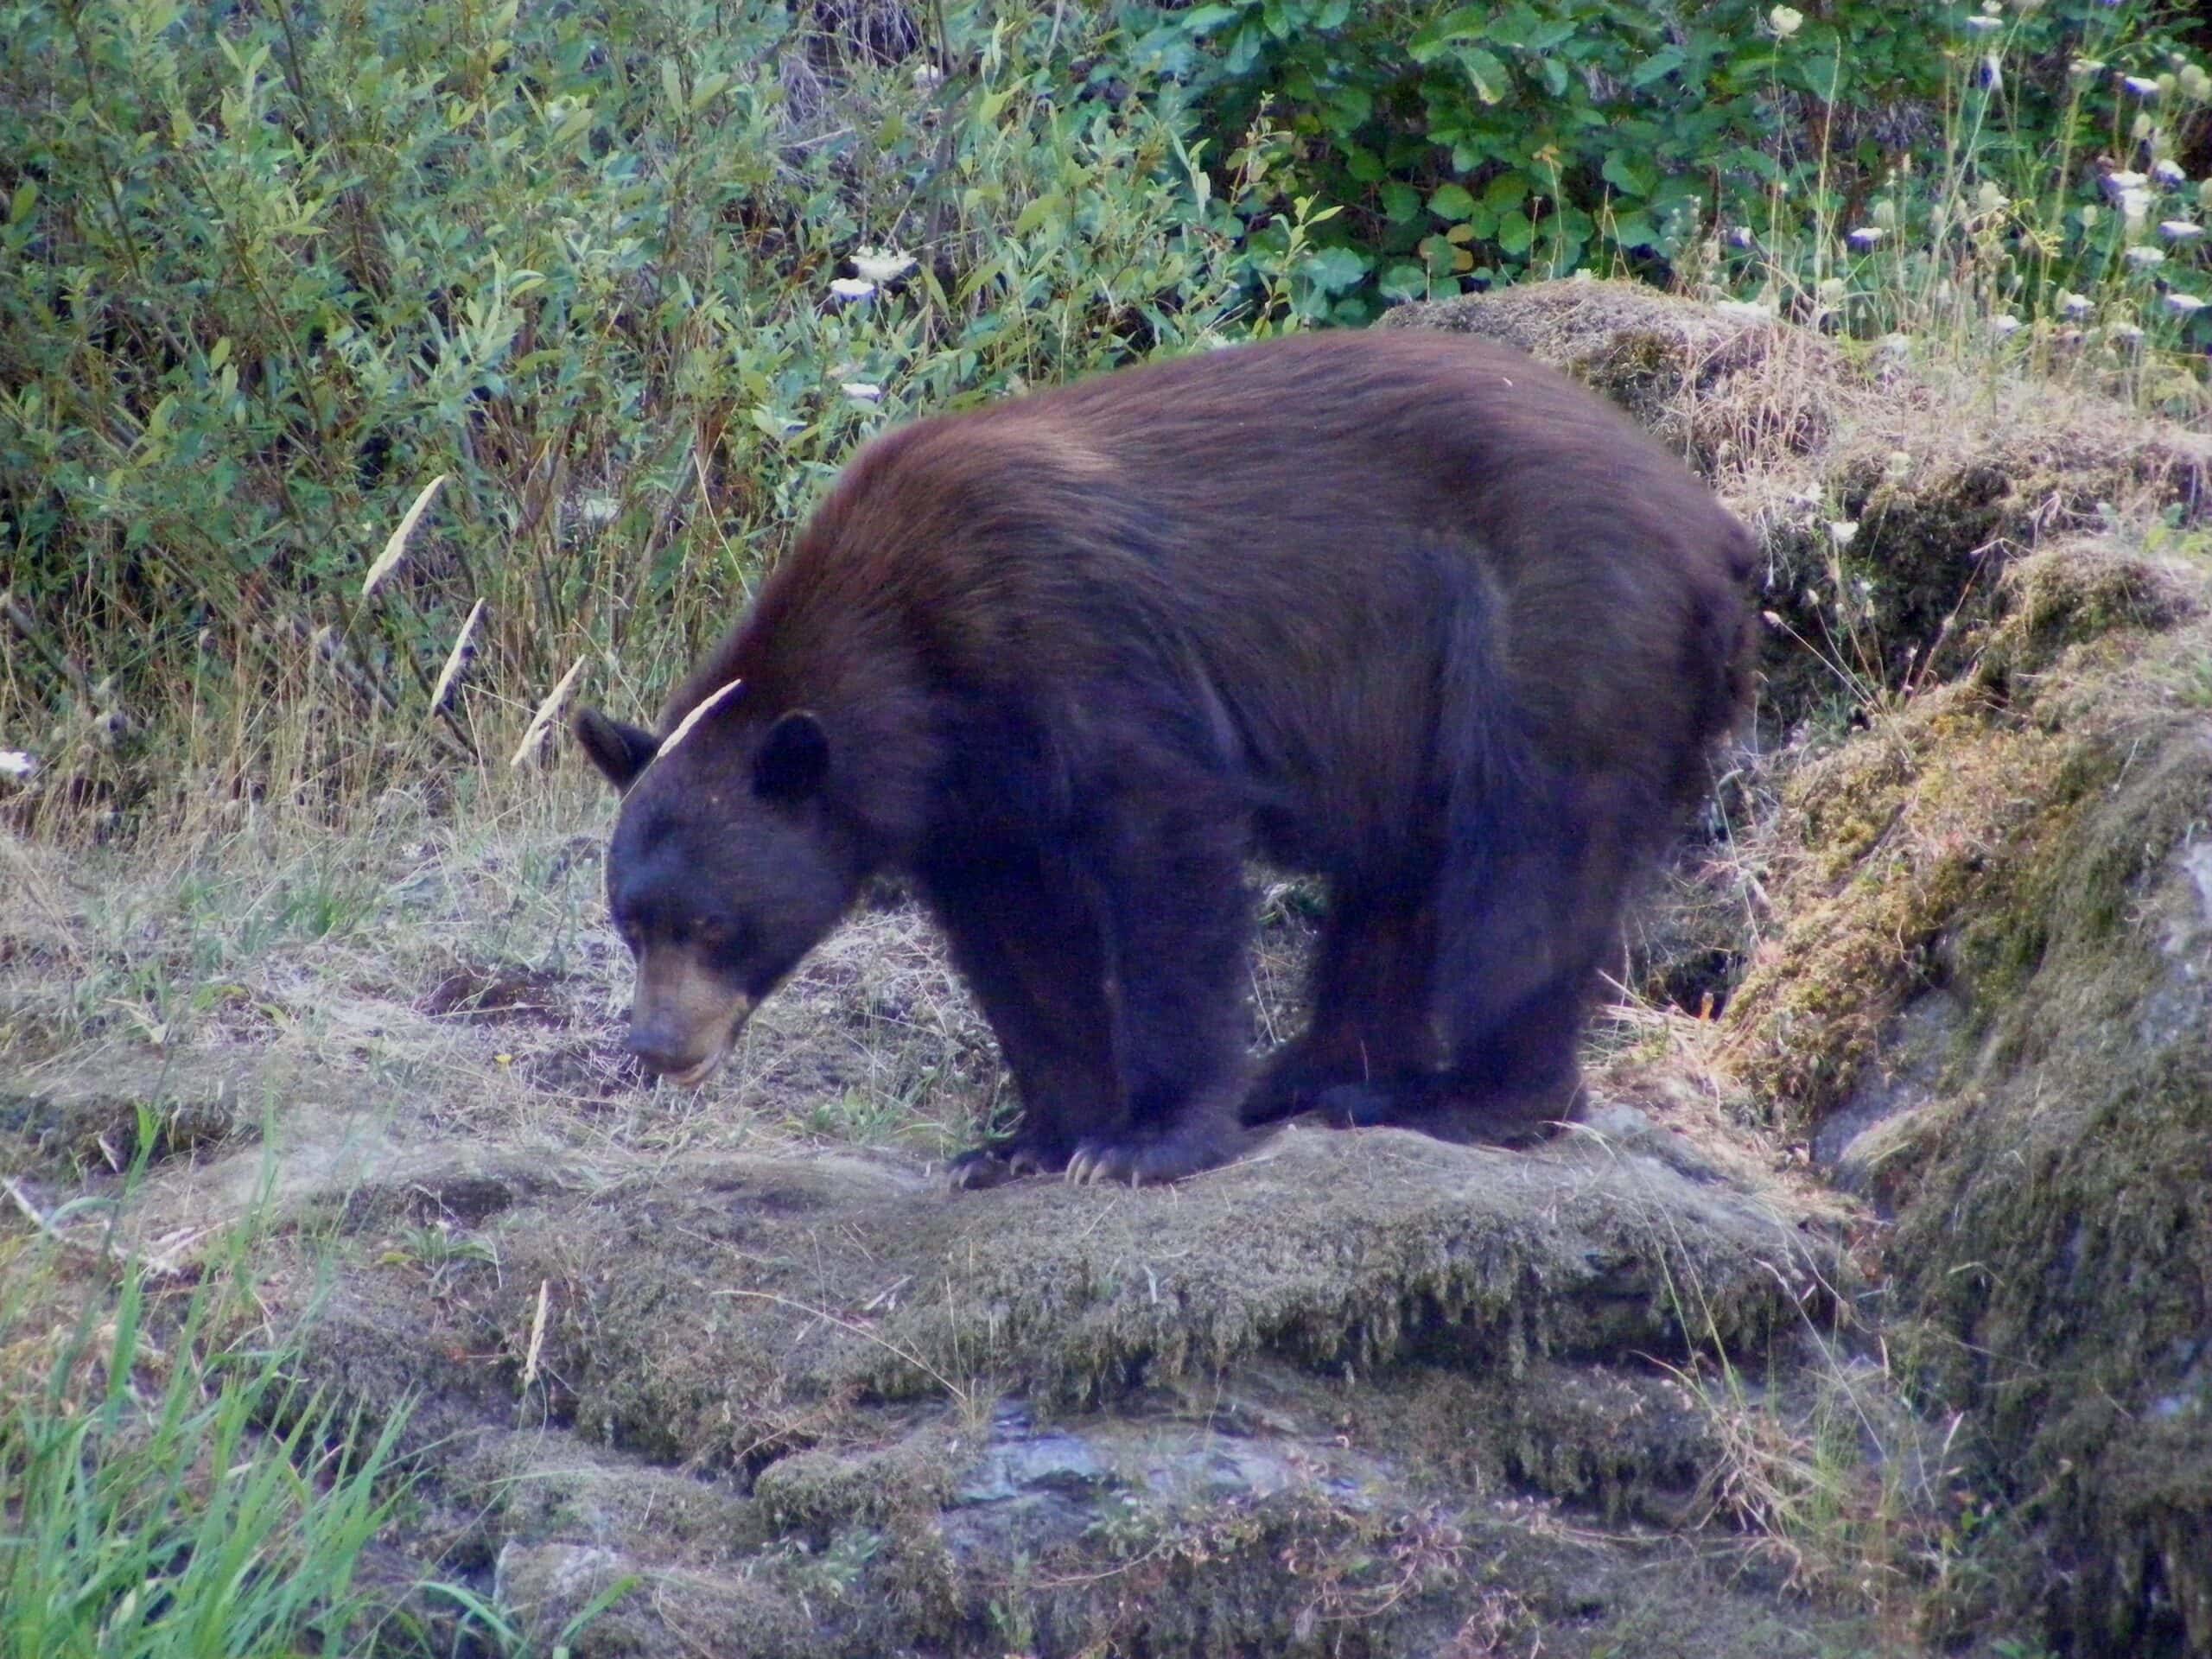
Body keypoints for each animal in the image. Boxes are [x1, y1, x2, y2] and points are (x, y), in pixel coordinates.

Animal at [574, 327, 1756, 1188]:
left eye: (712, 925)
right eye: (632, 922)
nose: (657, 1046)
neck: (909, 644)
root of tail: (1714, 532)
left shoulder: (1076, 647)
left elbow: (1163, 858)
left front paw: (1147, 1138)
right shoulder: (972, 789)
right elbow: (1017, 939)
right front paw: (1026, 1141)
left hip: (1553, 632)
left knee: (1525, 854)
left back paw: (1467, 1099)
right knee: (1400, 877)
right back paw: (1319, 1076)